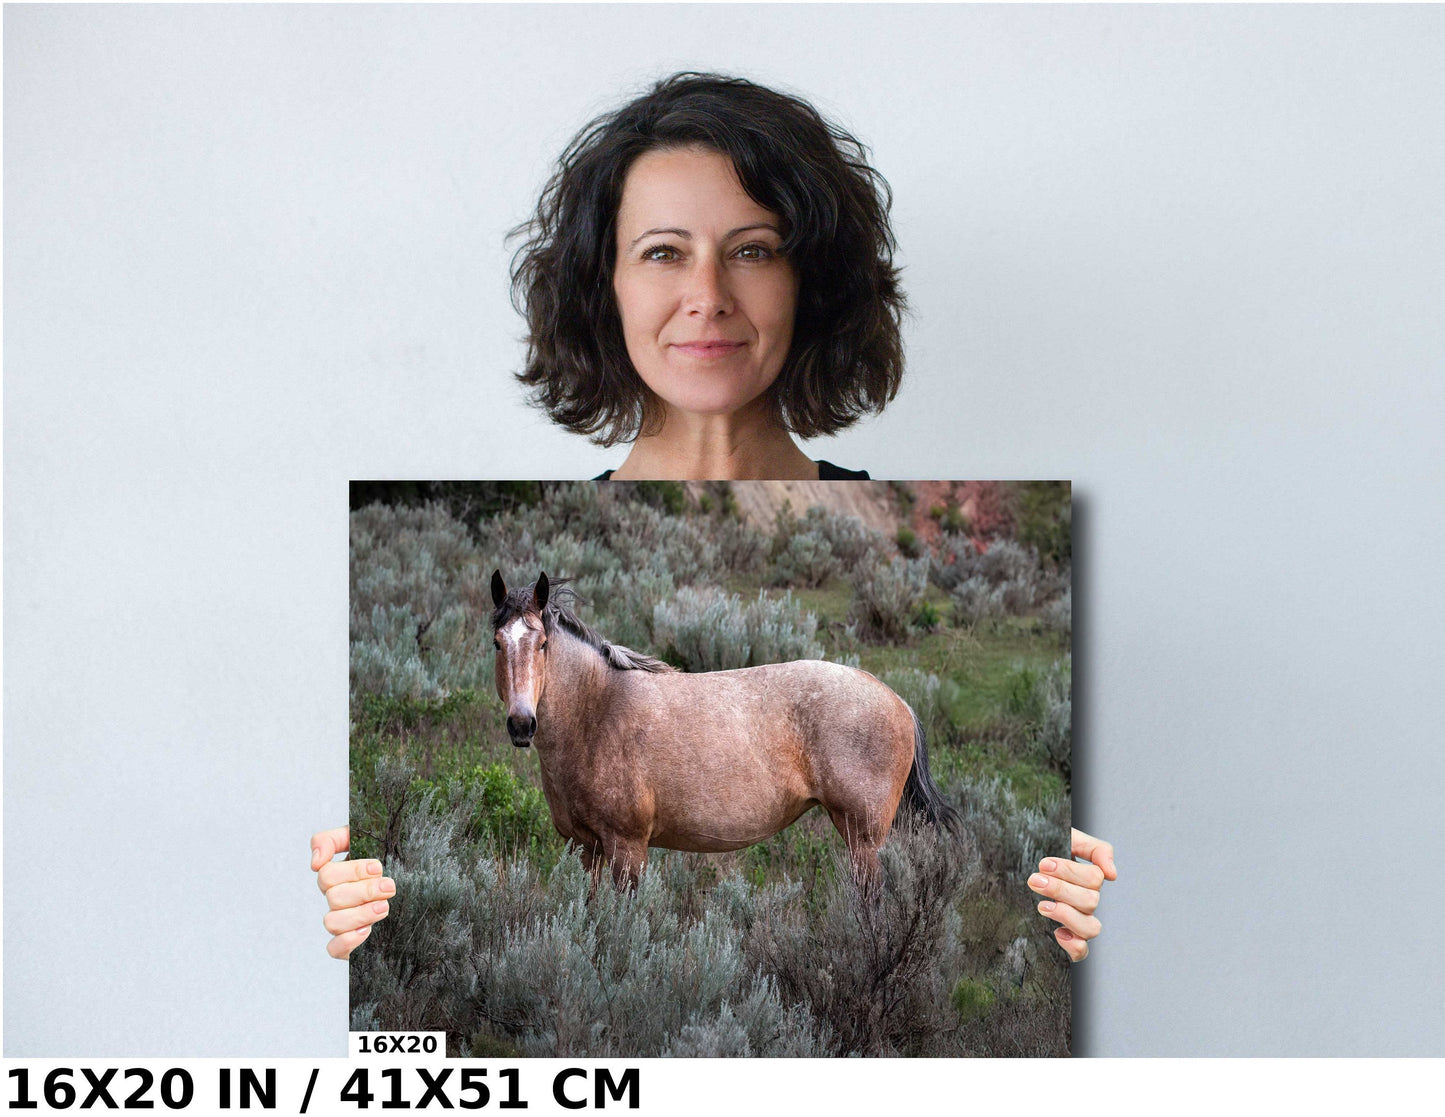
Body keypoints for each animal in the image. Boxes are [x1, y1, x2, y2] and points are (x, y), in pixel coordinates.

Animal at [489, 570, 958, 892]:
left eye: (543, 644)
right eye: (496, 642)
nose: (522, 723)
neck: (598, 711)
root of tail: (898, 702)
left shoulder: (628, 848)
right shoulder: (586, 847)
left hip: (863, 837)